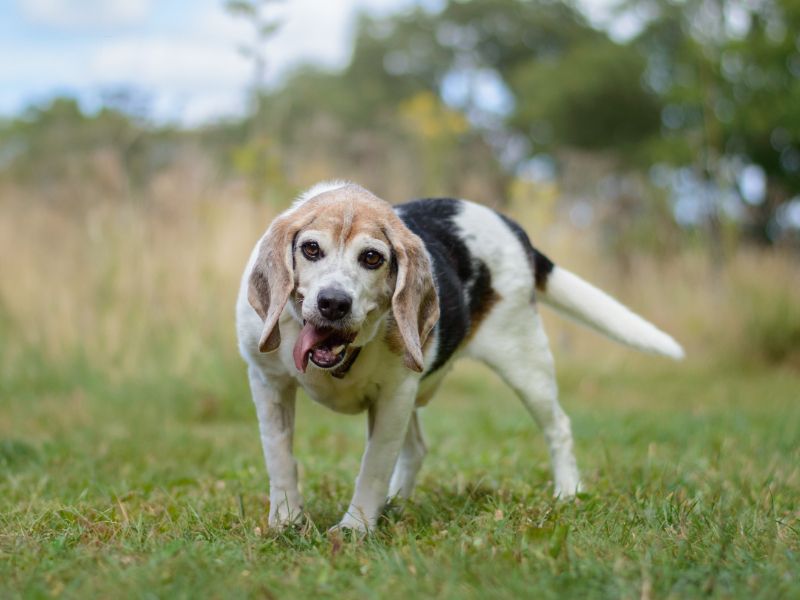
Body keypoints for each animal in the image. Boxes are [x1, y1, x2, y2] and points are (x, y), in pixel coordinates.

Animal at [234, 180, 684, 532]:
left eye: (372, 258)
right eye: (311, 249)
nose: (333, 303)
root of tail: (512, 227)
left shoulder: (394, 394)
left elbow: (373, 467)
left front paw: (355, 528)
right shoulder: (268, 382)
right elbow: (280, 456)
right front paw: (286, 521)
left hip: (525, 361)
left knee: (558, 426)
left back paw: (568, 492)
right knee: (416, 448)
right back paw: (395, 505)